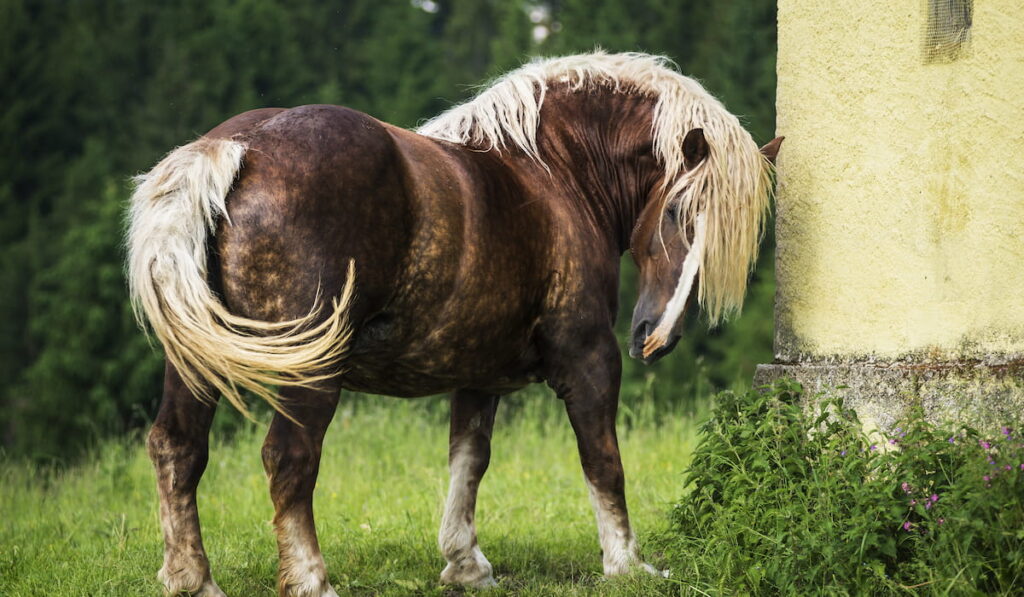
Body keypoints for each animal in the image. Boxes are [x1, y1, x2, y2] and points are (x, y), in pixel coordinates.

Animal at [130, 52, 782, 597]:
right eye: (677, 211)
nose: (657, 338)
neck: (553, 172)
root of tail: (242, 146)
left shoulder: (478, 371)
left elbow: (468, 460)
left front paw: (465, 563)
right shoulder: (588, 358)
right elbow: (603, 460)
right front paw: (626, 563)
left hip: (196, 364)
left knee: (177, 448)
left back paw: (193, 580)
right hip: (310, 373)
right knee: (288, 459)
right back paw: (312, 581)